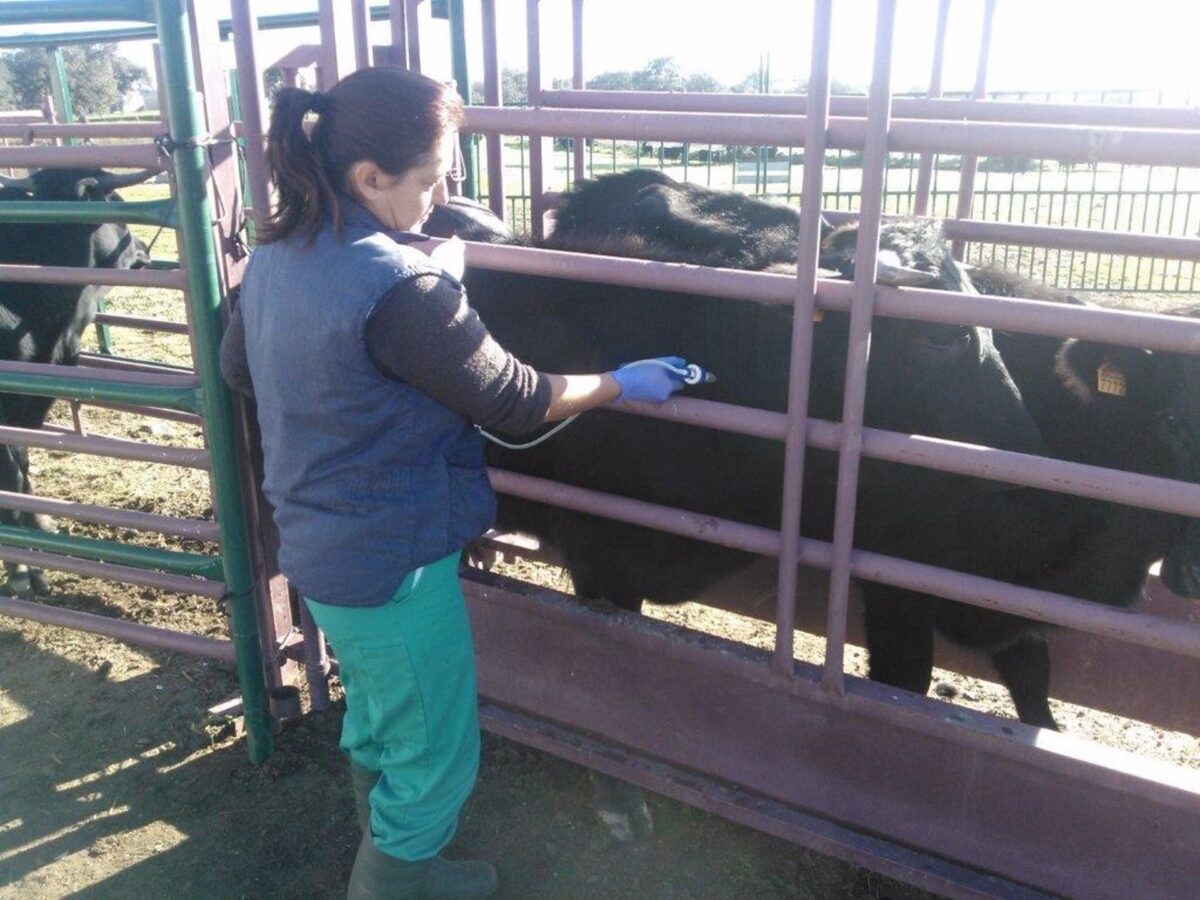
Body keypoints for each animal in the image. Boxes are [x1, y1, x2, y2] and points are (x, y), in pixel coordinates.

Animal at [0, 169, 154, 595]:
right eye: (116, 205)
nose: (143, 251)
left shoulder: (33, 396)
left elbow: (21, 466)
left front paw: (36, 529)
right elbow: (10, 472)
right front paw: (22, 569)